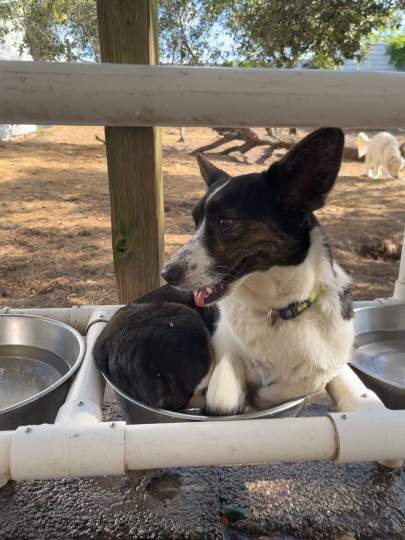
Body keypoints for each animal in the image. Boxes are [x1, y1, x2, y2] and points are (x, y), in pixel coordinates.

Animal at [94, 129, 354, 416]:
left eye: (224, 222)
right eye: (195, 221)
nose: (167, 274)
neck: (276, 309)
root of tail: (101, 348)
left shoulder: (328, 362)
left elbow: (311, 377)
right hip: (187, 323)